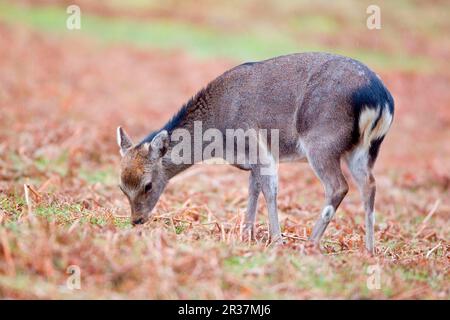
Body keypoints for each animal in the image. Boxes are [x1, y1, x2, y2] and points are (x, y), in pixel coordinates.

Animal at [117, 52, 394, 252]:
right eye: (121, 187)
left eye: (148, 185)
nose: (136, 220)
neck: (221, 140)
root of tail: (381, 98)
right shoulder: (252, 160)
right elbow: (253, 190)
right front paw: (246, 235)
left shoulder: (258, 146)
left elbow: (269, 191)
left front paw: (277, 240)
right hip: (365, 149)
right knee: (369, 185)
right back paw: (369, 250)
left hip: (322, 141)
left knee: (338, 186)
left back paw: (309, 244)